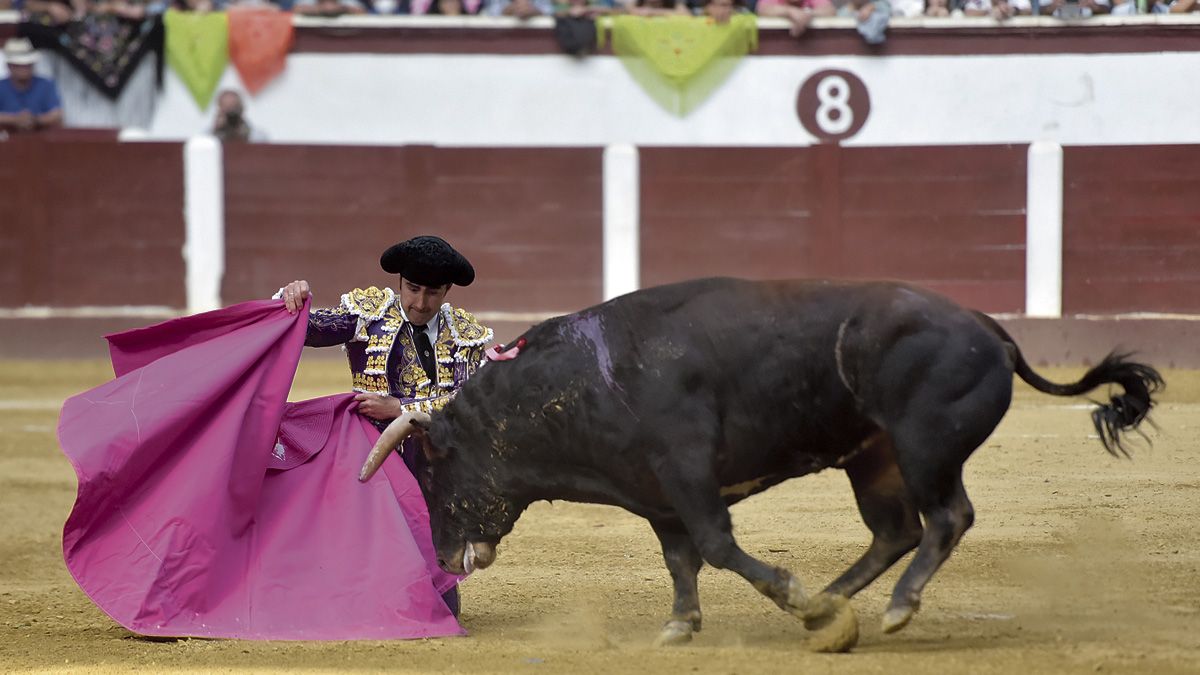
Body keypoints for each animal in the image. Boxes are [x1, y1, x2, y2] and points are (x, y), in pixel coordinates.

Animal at [376, 276, 1161, 648]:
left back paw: (888, 608)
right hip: (873, 458)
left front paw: (793, 594)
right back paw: (837, 604)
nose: (443, 557)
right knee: (896, 530)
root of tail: (988, 328)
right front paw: (681, 626)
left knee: (946, 517)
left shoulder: (687, 473)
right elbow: (682, 561)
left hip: (924, 444)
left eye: (435, 472)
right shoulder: (655, 494)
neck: (578, 383)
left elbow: (719, 547)